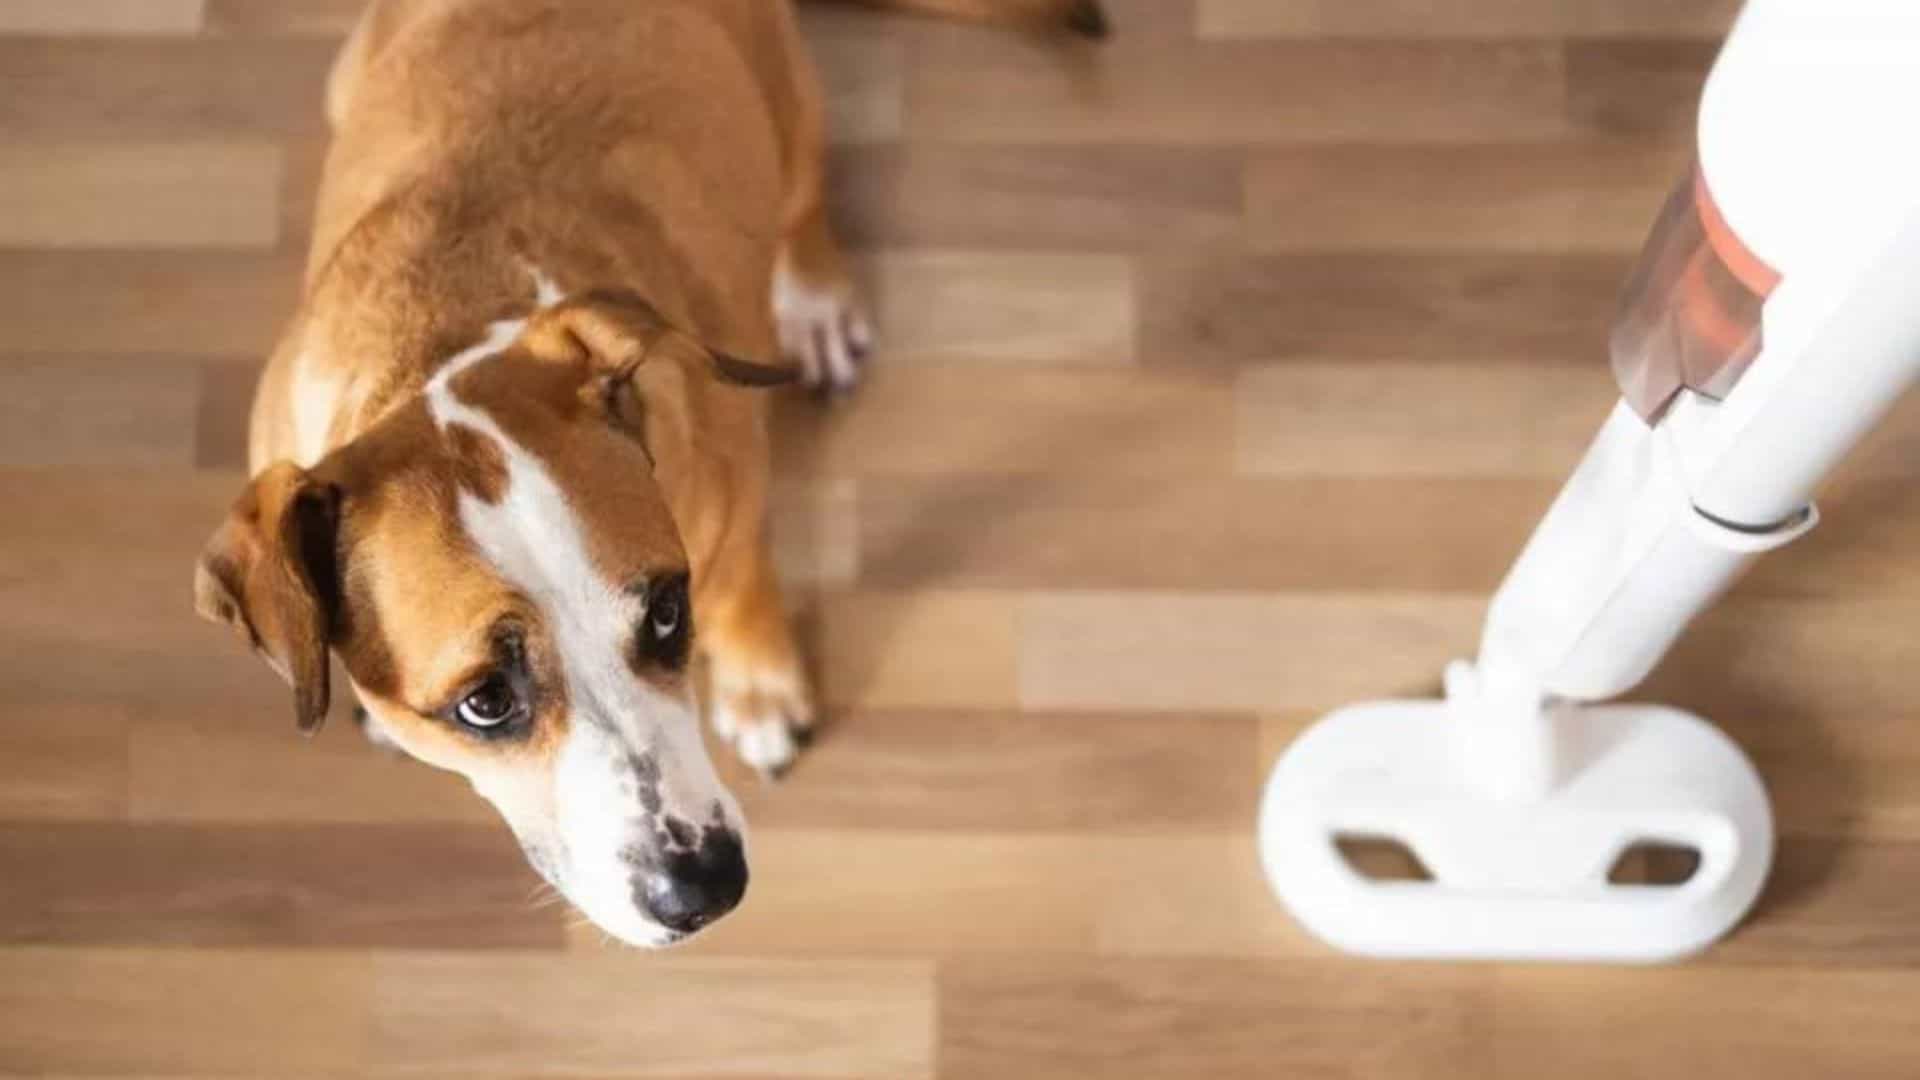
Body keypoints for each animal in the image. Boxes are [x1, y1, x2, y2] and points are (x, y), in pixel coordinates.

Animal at [192, 0, 1105, 941]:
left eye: (668, 612)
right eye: (484, 703)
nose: (706, 888)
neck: (442, 338)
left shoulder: (733, 502)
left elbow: (743, 589)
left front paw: (761, 690)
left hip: (785, 97)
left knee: (803, 196)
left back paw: (813, 298)